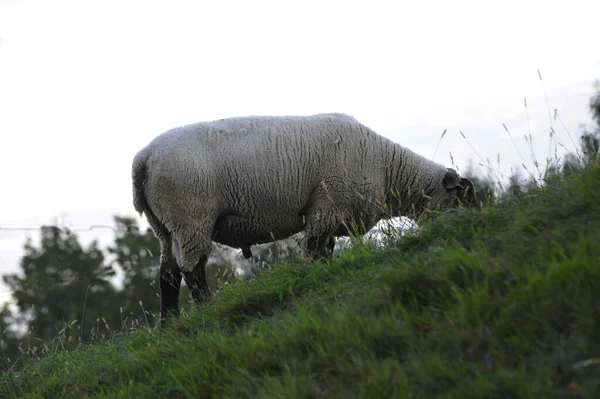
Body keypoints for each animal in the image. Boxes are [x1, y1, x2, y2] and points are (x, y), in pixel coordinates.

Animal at [131, 111, 478, 322]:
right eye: (463, 196)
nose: (477, 218)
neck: (387, 168)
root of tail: (144, 158)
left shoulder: (329, 213)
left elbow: (325, 250)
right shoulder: (327, 205)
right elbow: (315, 250)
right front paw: (316, 277)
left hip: (165, 226)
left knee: (168, 273)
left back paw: (169, 324)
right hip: (191, 216)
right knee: (192, 268)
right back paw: (206, 308)